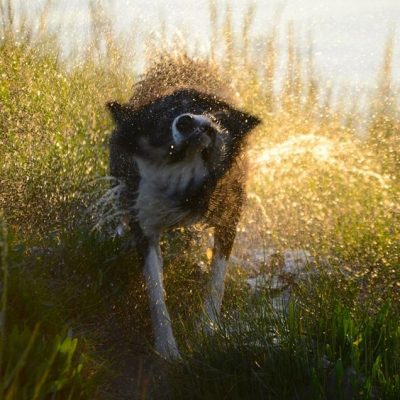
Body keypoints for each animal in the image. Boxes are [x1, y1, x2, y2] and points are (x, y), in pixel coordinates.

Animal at [106, 59, 260, 360]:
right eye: (164, 112)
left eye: (215, 111)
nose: (189, 121)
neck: (184, 171)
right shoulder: (144, 221)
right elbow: (156, 289)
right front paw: (167, 347)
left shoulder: (229, 214)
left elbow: (217, 281)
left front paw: (207, 330)